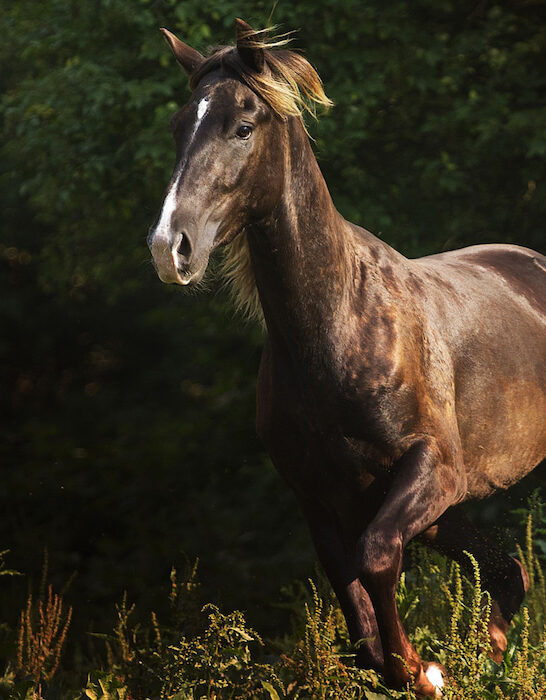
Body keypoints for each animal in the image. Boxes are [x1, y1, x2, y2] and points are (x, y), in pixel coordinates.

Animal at [148, 19, 544, 696]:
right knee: (507, 571)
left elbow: (378, 558)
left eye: (243, 126)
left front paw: (424, 670)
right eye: (179, 125)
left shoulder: (433, 470)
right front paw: (417, 668)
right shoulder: (324, 500)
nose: (168, 247)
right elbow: (357, 611)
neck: (337, 332)